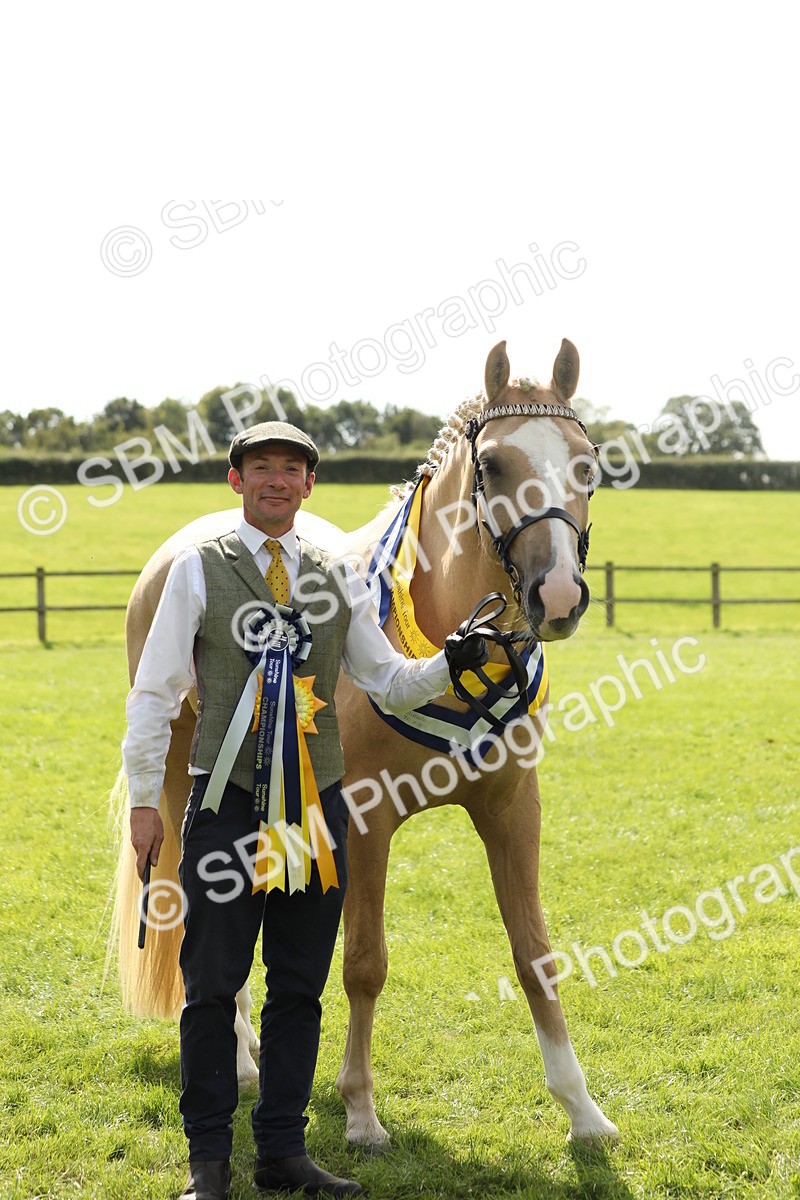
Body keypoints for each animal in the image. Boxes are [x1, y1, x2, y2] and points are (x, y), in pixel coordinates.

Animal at [110, 338, 619, 1146]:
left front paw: (583, 1112)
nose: (560, 595)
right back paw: (243, 1062)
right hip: (181, 787)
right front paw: (359, 1113)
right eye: (495, 464)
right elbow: (364, 964)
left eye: (587, 462)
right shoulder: (366, 821)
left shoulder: (513, 808)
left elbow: (536, 954)